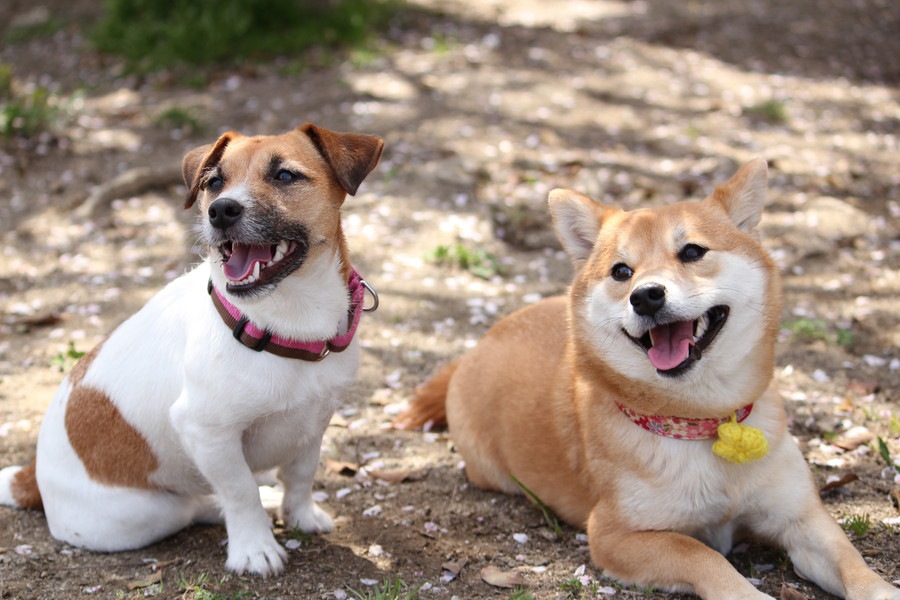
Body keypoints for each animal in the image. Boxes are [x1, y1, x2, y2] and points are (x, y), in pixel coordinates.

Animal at [0, 122, 384, 576]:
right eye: (214, 182)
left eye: (285, 175)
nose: (221, 210)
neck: (286, 323)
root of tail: (31, 478)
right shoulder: (207, 433)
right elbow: (239, 492)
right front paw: (255, 548)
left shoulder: (315, 421)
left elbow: (301, 474)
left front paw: (300, 516)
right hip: (150, 512)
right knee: (198, 505)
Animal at [400, 161, 900, 600]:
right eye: (622, 271)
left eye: (693, 251)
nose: (645, 296)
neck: (703, 422)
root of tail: (482, 341)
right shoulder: (617, 535)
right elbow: (701, 555)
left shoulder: (803, 518)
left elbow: (853, 563)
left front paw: (879, 588)